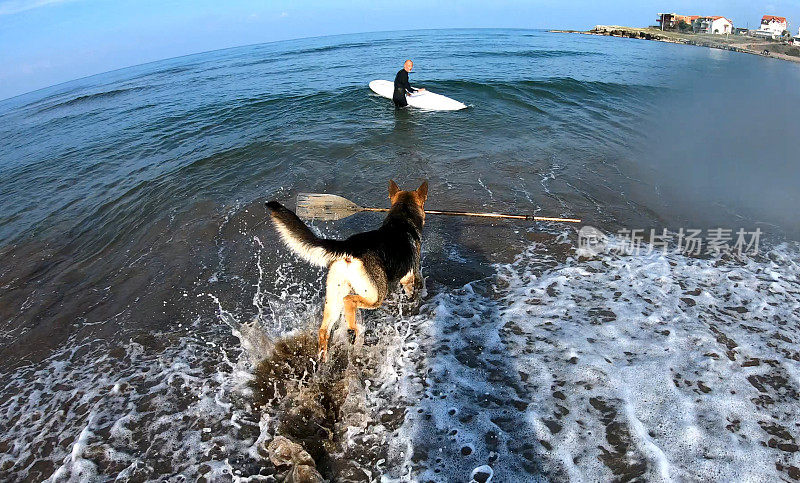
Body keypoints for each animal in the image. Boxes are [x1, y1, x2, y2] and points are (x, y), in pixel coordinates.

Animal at [266, 181, 428, 360]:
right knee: (349, 301)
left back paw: (324, 357)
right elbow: (412, 291)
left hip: (334, 296)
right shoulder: (408, 277)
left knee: (323, 329)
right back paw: (354, 329)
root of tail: (348, 246)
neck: (402, 216)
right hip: (376, 295)